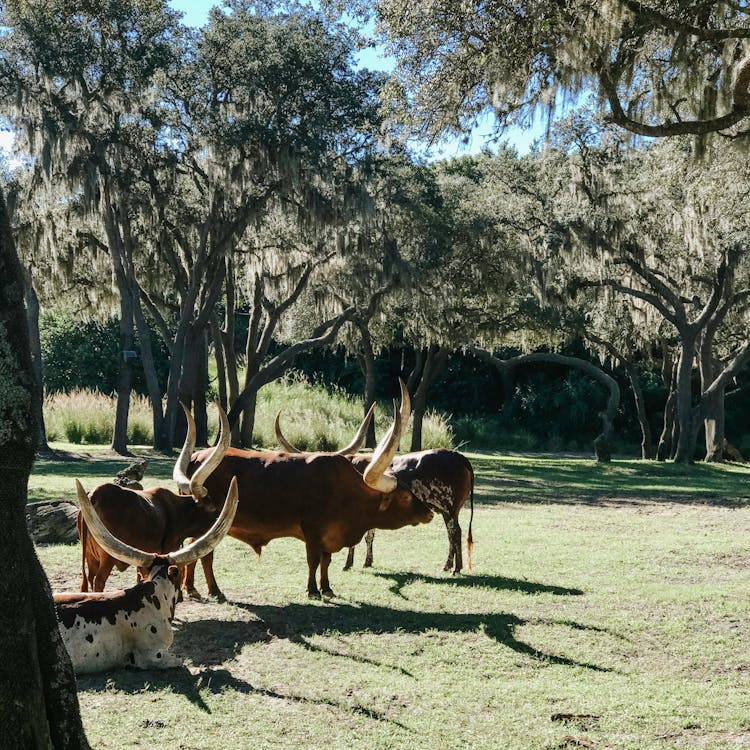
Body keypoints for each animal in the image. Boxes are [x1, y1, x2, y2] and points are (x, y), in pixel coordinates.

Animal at [77, 406, 232, 592]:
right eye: (211, 507)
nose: (218, 519)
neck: (177, 509)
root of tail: (93, 496)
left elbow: (140, 577)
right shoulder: (167, 550)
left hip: (90, 557)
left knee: (87, 580)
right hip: (107, 558)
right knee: (98, 581)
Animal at [180, 382, 438, 600]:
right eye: (405, 496)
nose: (429, 513)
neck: (345, 492)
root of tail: (198, 457)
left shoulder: (329, 536)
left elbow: (326, 562)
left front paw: (327, 588)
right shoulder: (312, 533)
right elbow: (313, 562)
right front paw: (313, 590)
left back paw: (192, 588)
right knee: (205, 554)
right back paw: (211, 590)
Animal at [274, 418, 476, 576]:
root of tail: (458, 456)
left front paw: (348, 564)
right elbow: (369, 535)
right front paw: (367, 561)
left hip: (450, 507)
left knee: (455, 532)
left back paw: (455, 568)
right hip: (446, 511)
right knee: (451, 534)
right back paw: (449, 565)